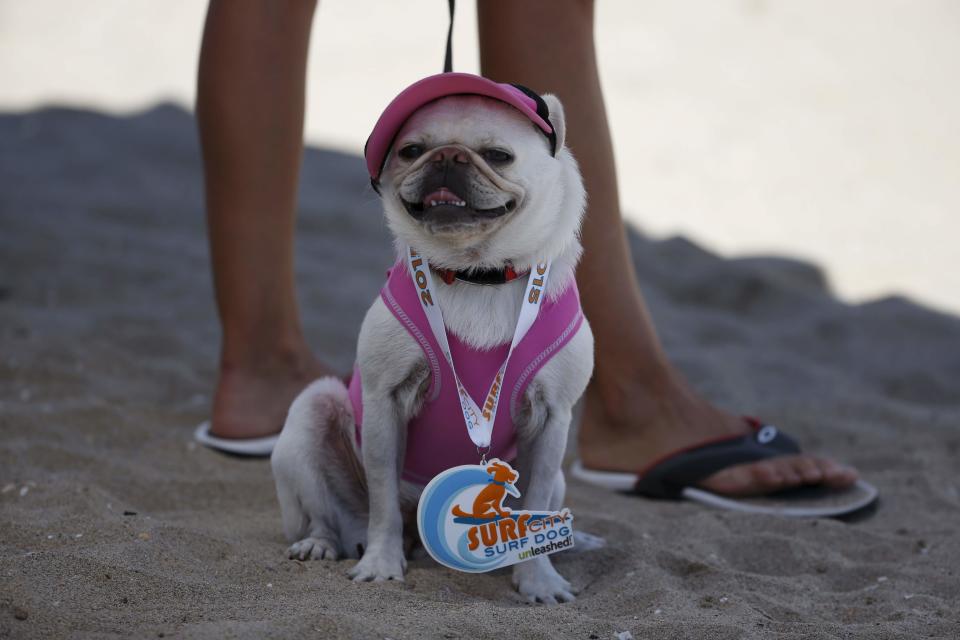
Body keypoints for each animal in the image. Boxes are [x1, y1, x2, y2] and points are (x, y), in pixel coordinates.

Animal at [272, 81, 592, 604]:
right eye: (411, 151)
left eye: (498, 156)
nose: (447, 156)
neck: (476, 274)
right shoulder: (384, 403)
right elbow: (382, 499)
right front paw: (381, 565)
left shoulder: (551, 419)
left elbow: (538, 497)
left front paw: (538, 580)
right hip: (310, 415)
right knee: (331, 515)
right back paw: (322, 544)